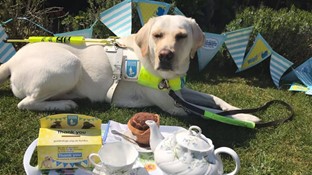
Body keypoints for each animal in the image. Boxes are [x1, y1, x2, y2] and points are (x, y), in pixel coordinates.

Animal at [0, 15, 260, 122]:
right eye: (157, 35)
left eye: (181, 36)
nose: (166, 56)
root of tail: (12, 60)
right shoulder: (176, 106)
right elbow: (211, 111)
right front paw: (247, 117)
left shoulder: (180, 91)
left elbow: (215, 99)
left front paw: (240, 110)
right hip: (69, 65)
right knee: (26, 103)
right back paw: (64, 104)